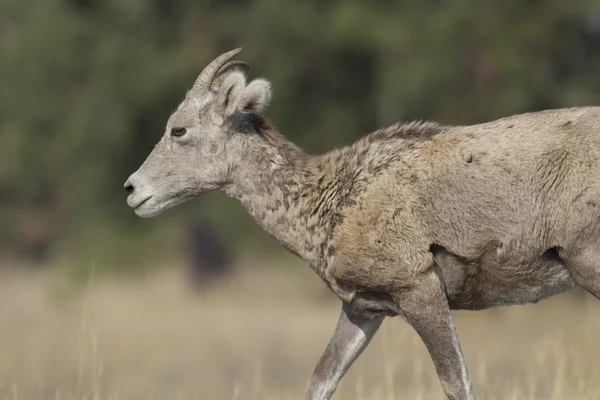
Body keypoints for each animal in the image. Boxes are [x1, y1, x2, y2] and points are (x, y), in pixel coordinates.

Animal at [124, 47, 600, 400]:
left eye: (179, 130)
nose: (132, 189)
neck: (331, 203)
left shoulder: (419, 289)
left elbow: (457, 383)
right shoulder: (362, 310)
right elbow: (321, 381)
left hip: (588, 264)